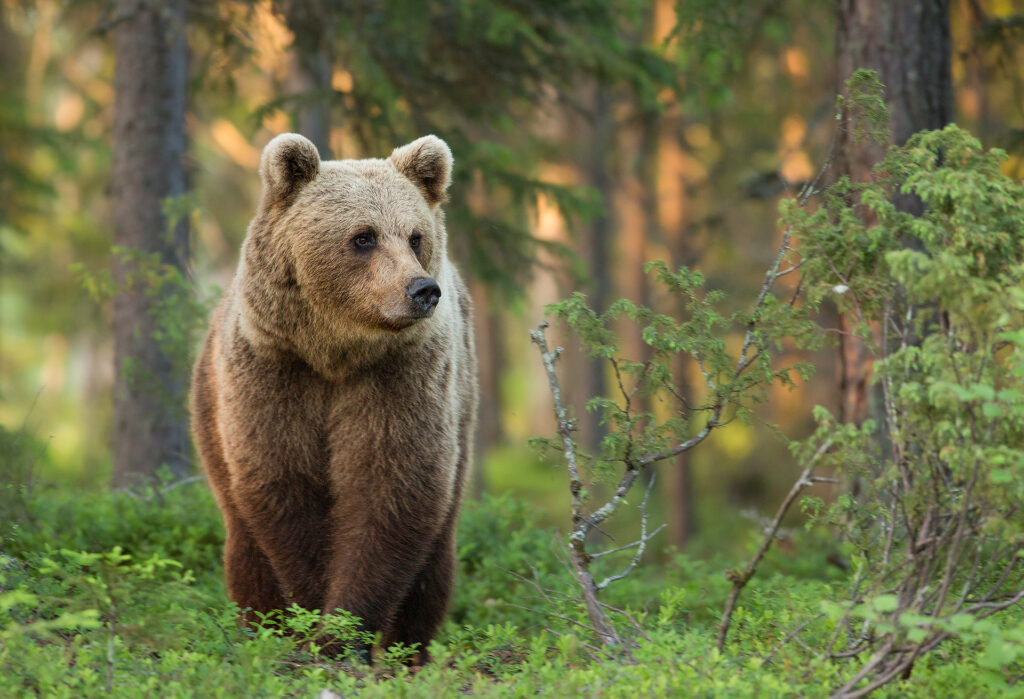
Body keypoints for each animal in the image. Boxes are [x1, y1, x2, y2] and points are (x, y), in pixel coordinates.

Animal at [190, 133, 477, 661]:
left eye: (415, 236)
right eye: (363, 236)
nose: (422, 290)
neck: (335, 354)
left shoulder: (400, 378)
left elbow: (389, 489)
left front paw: (343, 633)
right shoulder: (274, 371)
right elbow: (285, 484)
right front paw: (311, 616)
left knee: (435, 560)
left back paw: (411, 653)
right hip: (210, 415)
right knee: (245, 550)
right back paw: (262, 629)